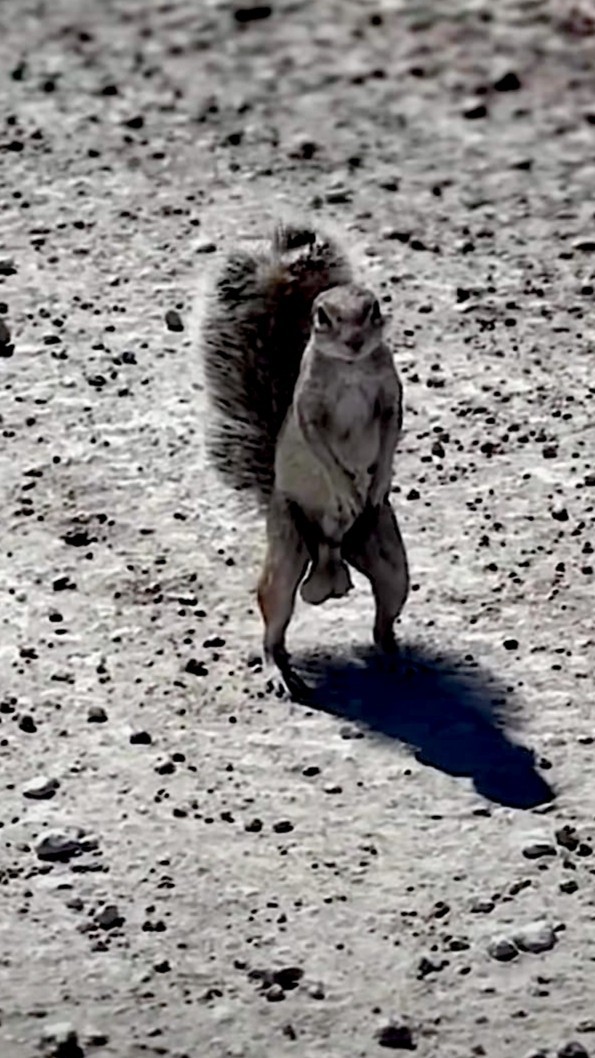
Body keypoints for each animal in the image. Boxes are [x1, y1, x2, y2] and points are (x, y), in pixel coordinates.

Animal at [200, 224, 409, 700]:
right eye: (322, 317)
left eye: (374, 309)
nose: (354, 342)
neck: (350, 368)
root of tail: (331, 549)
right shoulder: (308, 409)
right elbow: (321, 446)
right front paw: (345, 486)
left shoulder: (391, 396)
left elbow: (391, 430)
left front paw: (377, 479)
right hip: (287, 542)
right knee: (273, 622)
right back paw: (277, 669)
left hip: (388, 556)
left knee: (385, 612)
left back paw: (394, 654)